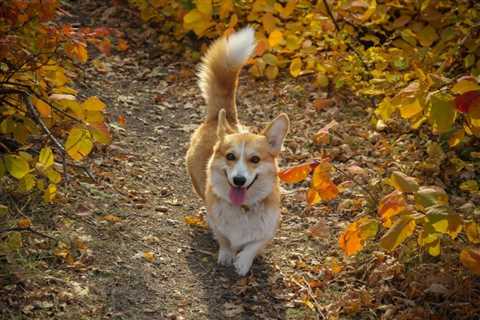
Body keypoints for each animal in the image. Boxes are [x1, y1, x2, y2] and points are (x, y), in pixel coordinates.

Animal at [185, 27, 288, 276]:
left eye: (255, 159)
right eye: (230, 157)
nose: (239, 180)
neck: (243, 208)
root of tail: (222, 118)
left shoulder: (268, 230)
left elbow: (253, 245)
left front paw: (243, 262)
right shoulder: (217, 223)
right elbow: (224, 239)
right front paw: (227, 254)